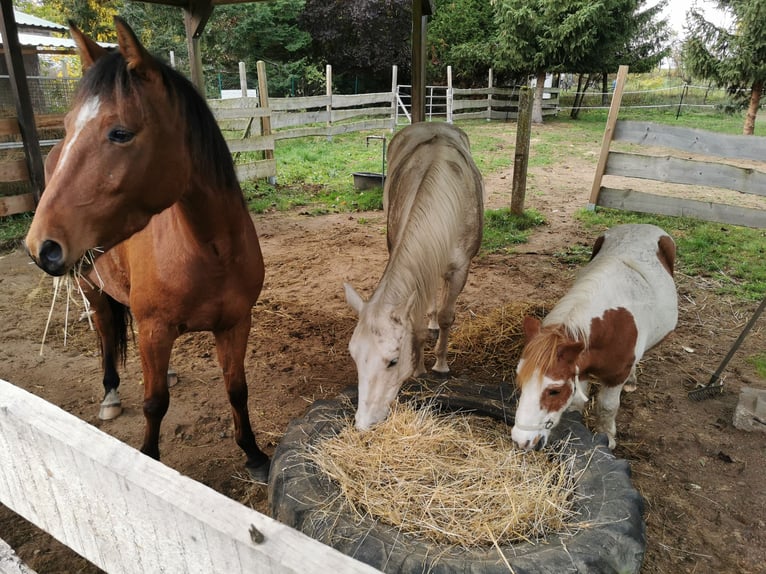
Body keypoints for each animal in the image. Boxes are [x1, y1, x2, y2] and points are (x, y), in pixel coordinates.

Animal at [24, 18, 270, 481]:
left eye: (120, 133)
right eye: (68, 125)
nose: (40, 246)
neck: (211, 251)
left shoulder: (235, 324)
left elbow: (238, 389)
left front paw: (254, 453)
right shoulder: (156, 328)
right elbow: (154, 404)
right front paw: (149, 459)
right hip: (92, 288)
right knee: (105, 332)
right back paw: (110, 394)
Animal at [344, 122, 484, 430]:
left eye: (393, 361)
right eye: (354, 357)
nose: (363, 423)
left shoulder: (460, 270)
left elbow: (446, 317)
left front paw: (440, 365)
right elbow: (417, 321)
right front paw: (419, 367)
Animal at [511, 223, 678, 451]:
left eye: (554, 391)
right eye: (520, 382)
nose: (521, 440)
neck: (611, 326)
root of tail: (645, 226)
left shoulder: (616, 377)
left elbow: (607, 406)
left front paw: (606, 437)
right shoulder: (580, 370)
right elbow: (576, 402)